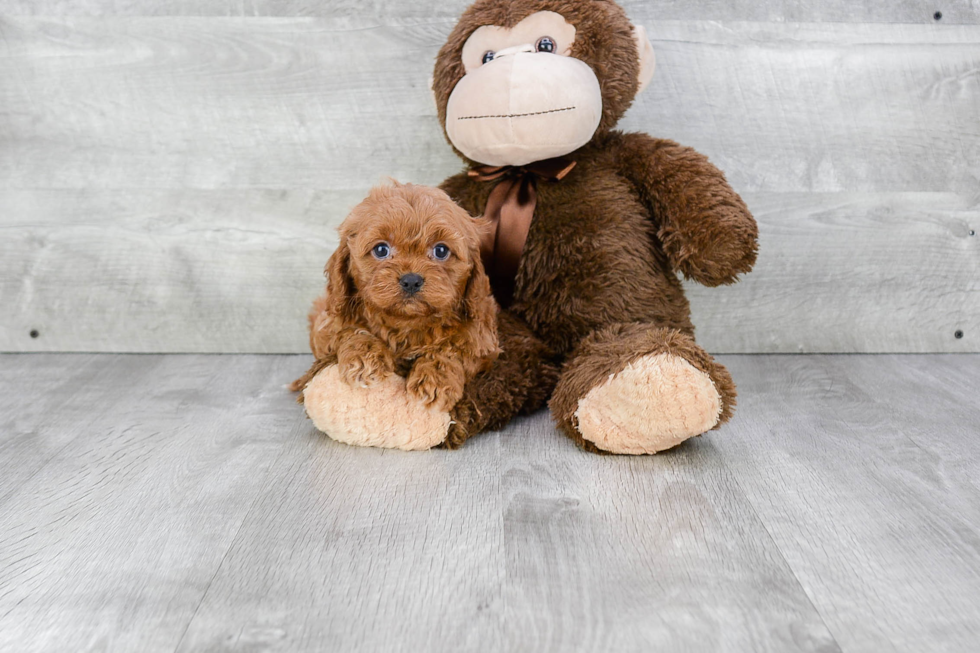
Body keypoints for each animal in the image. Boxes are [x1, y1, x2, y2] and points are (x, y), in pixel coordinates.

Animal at [290, 181, 498, 410]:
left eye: (441, 250)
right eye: (381, 250)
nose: (411, 280)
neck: (407, 324)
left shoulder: (483, 341)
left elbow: (454, 349)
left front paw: (434, 379)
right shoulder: (326, 325)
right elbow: (350, 330)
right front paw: (365, 358)